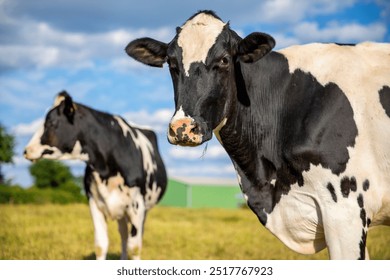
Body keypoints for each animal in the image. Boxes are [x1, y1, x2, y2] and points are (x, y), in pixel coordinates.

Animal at [24, 91, 168, 260]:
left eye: (51, 123)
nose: (26, 150)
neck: (106, 168)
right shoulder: (95, 202)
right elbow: (101, 245)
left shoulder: (137, 206)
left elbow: (135, 248)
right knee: (123, 235)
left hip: (143, 210)